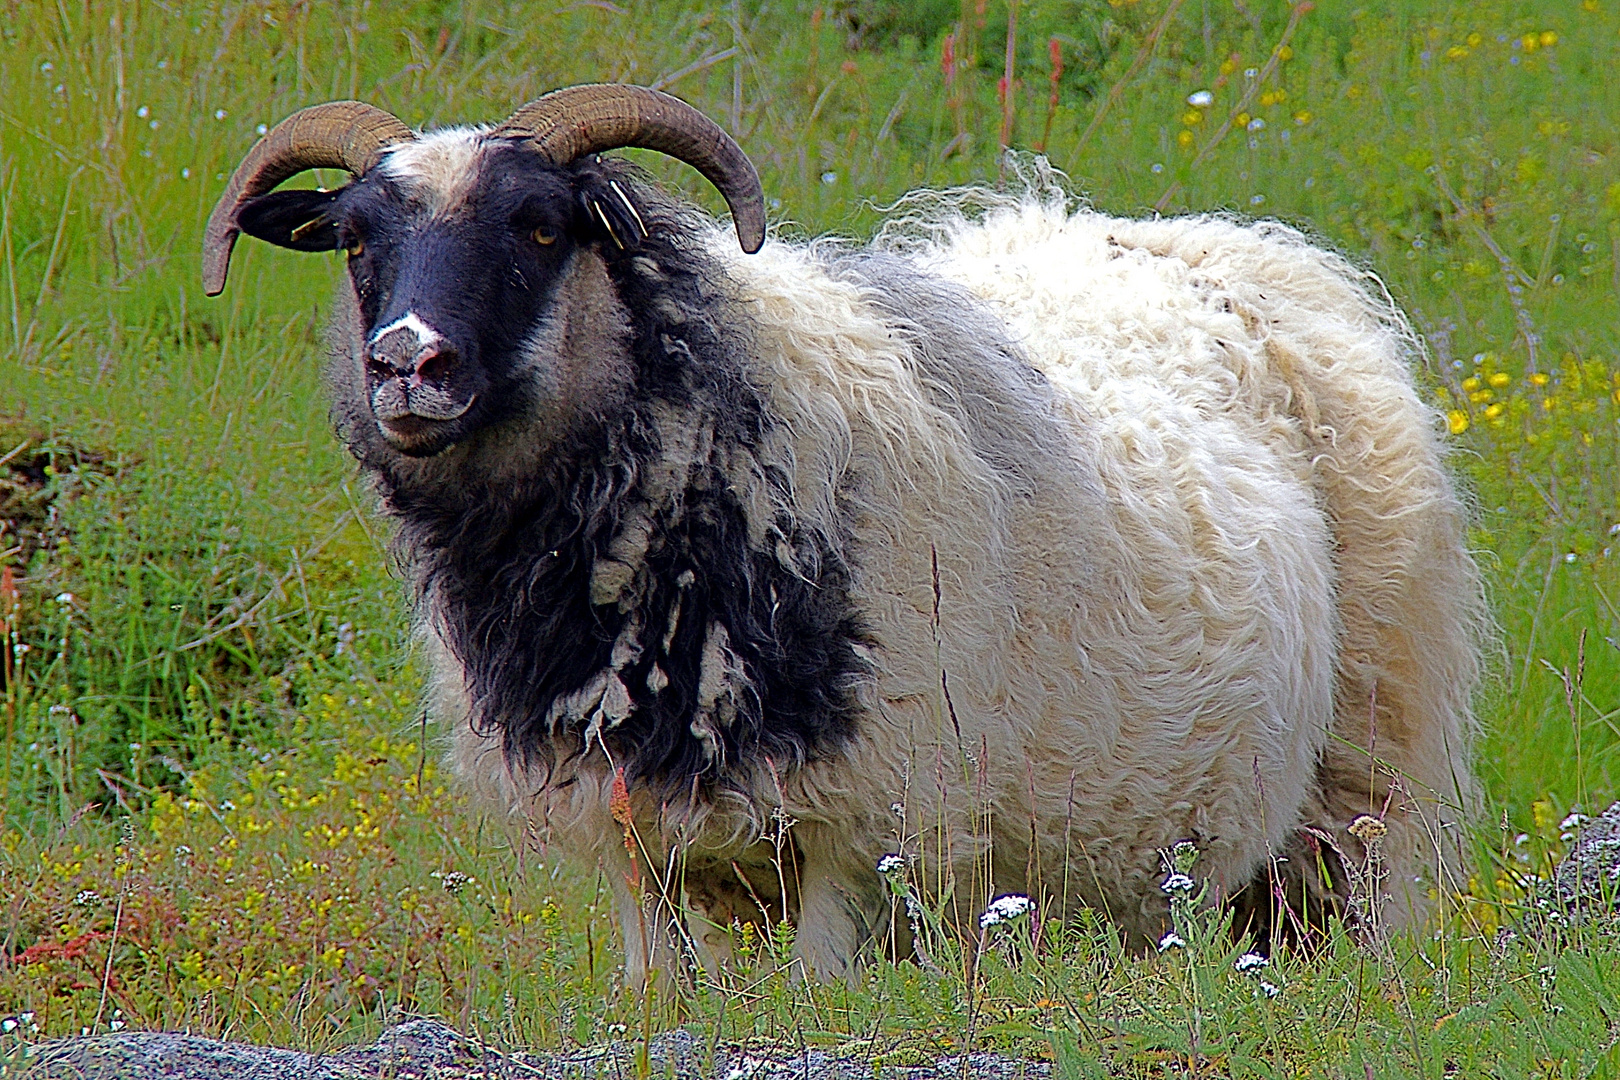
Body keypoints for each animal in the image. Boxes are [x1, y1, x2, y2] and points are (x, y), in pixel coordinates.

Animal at [202, 82, 1483, 977]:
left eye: (541, 226)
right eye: (356, 238)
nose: (408, 365)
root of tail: (1244, 245)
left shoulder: (856, 833)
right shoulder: (640, 845)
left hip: (1355, 790)